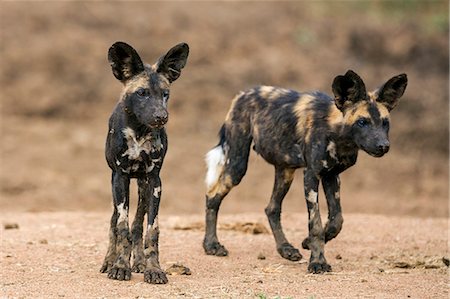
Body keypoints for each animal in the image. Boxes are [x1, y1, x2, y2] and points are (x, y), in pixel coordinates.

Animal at [100, 41, 188, 284]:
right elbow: (121, 227)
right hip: (118, 185)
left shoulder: (154, 180)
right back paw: (109, 260)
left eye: (165, 94)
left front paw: (153, 269)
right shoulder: (120, 178)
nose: (161, 116)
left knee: (138, 224)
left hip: (143, 186)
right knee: (114, 221)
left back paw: (138, 261)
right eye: (142, 93)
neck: (139, 131)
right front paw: (120, 266)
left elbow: (151, 230)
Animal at [204, 70, 408, 274]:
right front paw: (318, 262)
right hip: (237, 166)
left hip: (285, 172)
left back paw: (286, 249)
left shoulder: (331, 176)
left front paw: (308, 243)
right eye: (362, 122)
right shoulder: (311, 175)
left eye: (385, 123)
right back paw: (211, 245)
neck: (339, 135)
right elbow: (315, 223)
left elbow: (337, 220)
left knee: (272, 208)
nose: (383, 146)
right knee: (212, 196)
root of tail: (243, 93)